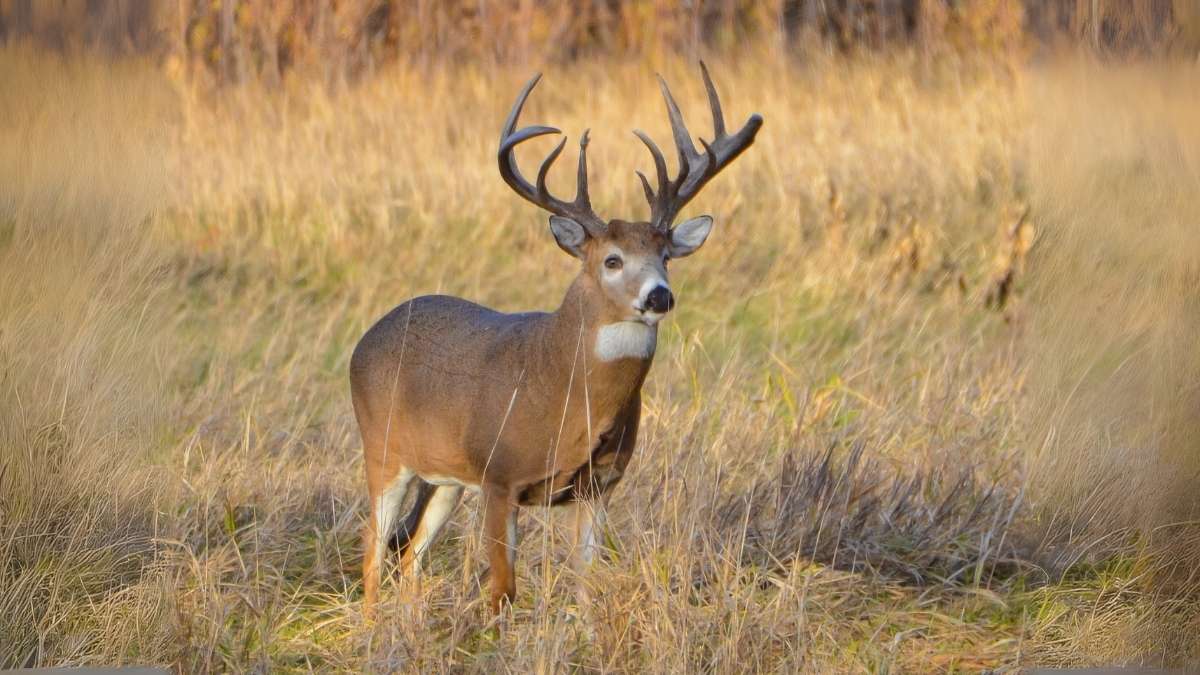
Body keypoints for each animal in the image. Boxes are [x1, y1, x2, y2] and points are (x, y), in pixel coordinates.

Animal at [350, 62, 762, 615]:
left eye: (666, 256)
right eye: (612, 260)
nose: (659, 296)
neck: (567, 390)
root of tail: (368, 337)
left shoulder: (597, 487)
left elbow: (588, 583)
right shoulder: (499, 476)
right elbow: (503, 591)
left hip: (444, 478)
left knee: (410, 554)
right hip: (384, 449)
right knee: (373, 551)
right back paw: (373, 624)